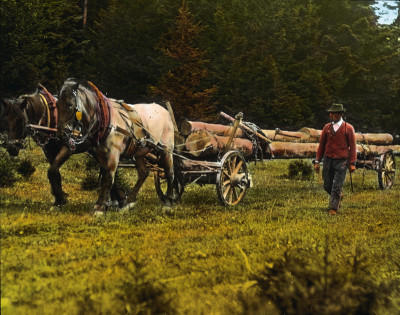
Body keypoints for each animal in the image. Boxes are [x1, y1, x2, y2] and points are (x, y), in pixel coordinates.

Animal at [57, 79, 176, 217]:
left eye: (70, 104)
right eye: (57, 104)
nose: (61, 134)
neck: (104, 120)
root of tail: (164, 110)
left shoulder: (114, 154)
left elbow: (109, 178)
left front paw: (99, 207)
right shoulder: (101, 155)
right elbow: (107, 176)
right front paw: (119, 202)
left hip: (166, 149)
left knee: (169, 171)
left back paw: (168, 201)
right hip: (139, 151)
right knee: (143, 173)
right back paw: (130, 199)